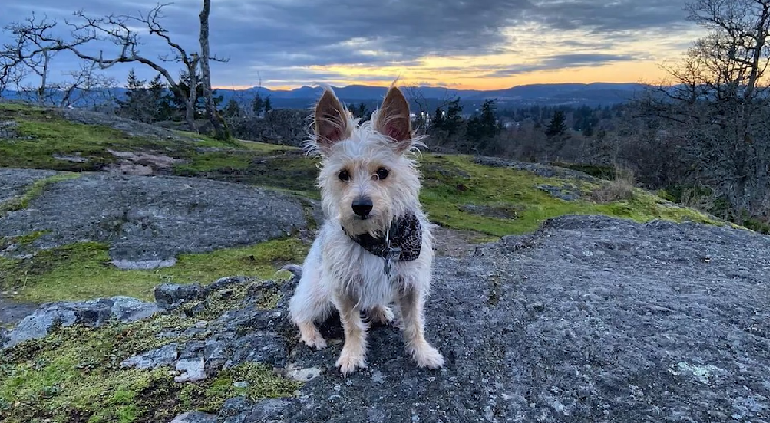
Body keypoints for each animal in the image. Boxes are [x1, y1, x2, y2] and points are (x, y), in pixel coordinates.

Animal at [288, 85, 444, 374]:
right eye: (342, 175)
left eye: (382, 172)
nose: (361, 206)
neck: (378, 239)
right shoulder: (342, 287)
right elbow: (351, 325)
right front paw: (352, 355)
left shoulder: (412, 284)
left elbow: (415, 323)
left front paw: (422, 353)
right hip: (318, 293)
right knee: (297, 310)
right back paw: (311, 334)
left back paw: (380, 310)